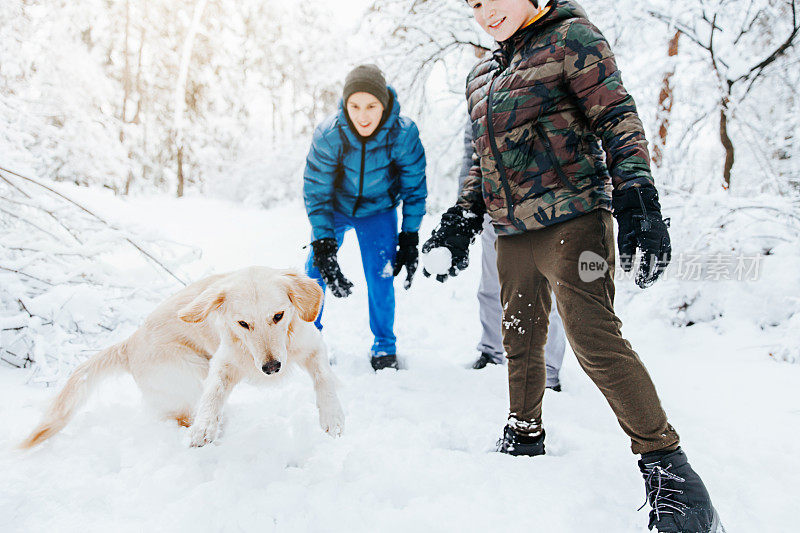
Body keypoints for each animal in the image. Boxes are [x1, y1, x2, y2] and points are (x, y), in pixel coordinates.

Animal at [21, 266, 344, 448]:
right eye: (242, 324)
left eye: (278, 316)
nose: (272, 367)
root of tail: (129, 343)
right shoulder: (222, 364)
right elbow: (214, 393)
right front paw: (204, 427)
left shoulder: (313, 347)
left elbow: (325, 378)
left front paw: (333, 418)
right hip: (191, 370)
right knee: (183, 413)